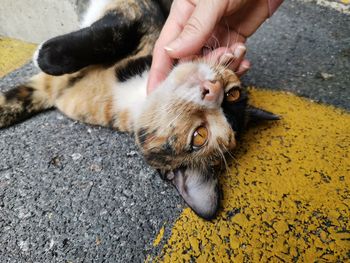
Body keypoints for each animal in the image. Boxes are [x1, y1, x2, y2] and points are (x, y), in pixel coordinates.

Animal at [0, 0, 278, 221]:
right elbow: (111, 35)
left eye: (200, 136)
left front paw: (45, 54)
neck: (135, 95)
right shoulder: (142, 16)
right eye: (233, 94)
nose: (214, 90)